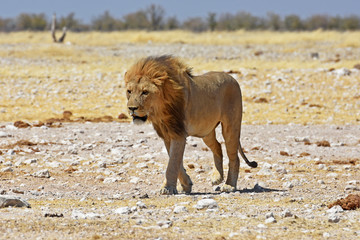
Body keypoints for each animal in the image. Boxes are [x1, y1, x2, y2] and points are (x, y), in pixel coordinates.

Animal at [125, 55, 258, 194]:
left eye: (145, 92)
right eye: (129, 91)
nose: (131, 108)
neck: (160, 111)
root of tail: (233, 79)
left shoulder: (178, 133)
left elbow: (172, 164)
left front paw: (167, 188)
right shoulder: (167, 135)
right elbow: (176, 162)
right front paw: (186, 185)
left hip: (230, 126)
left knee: (234, 156)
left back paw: (229, 185)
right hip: (205, 131)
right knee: (217, 146)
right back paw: (217, 177)